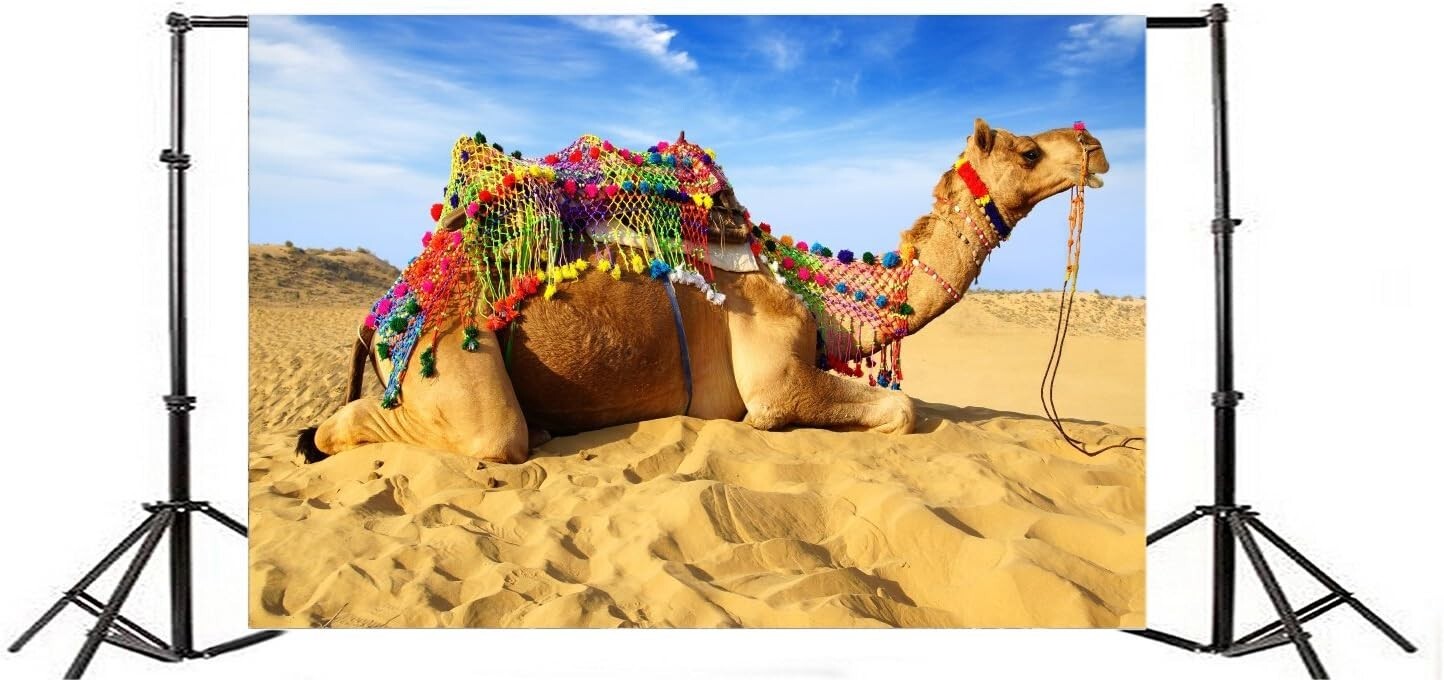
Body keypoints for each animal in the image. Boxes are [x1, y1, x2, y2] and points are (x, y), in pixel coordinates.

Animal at [298, 118, 1109, 464]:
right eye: (1027, 151)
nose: (1095, 146)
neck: (819, 297)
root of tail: (383, 311)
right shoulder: (775, 377)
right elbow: (902, 409)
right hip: (445, 352)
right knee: (459, 433)